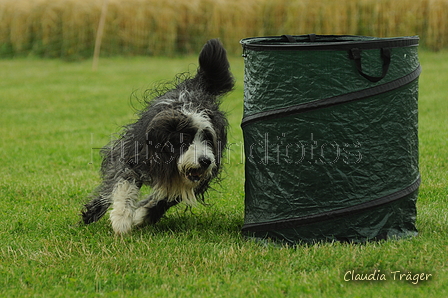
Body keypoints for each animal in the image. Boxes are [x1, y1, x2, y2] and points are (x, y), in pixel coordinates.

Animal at [81, 39, 234, 234]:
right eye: (185, 140)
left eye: (209, 140)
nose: (205, 161)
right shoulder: (134, 154)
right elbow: (124, 182)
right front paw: (122, 218)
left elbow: (168, 196)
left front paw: (141, 215)